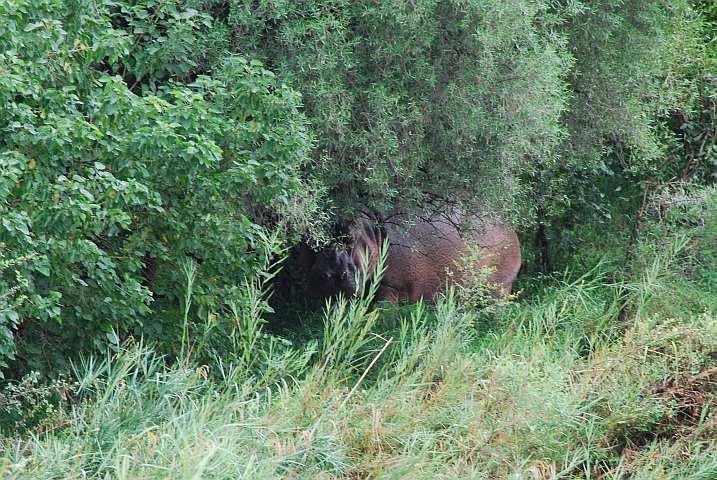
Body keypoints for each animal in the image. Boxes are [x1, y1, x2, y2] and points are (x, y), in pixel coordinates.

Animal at [300, 212, 521, 304]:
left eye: (351, 237)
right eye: (308, 238)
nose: (329, 275)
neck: (371, 230)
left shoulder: (391, 286)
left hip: (501, 285)